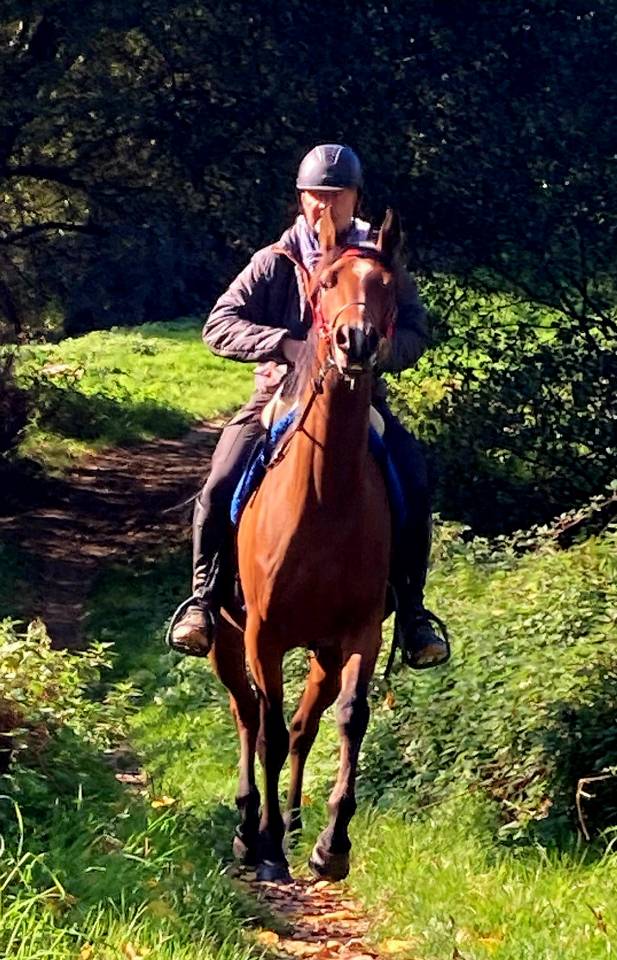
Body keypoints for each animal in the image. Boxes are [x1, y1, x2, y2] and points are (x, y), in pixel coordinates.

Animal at [210, 206, 401, 883]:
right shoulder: (263, 635)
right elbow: (264, 724)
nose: (356, 342)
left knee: (302, 724)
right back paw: (252, 827)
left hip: (321, 652)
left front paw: (330, 844)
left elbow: (349, 718)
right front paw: (267, 846)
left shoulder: (360, 633)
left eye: (389, 285)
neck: (324, 499)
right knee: (248, 714)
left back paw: (291, 821)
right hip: (226, 638)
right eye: (326, 284)